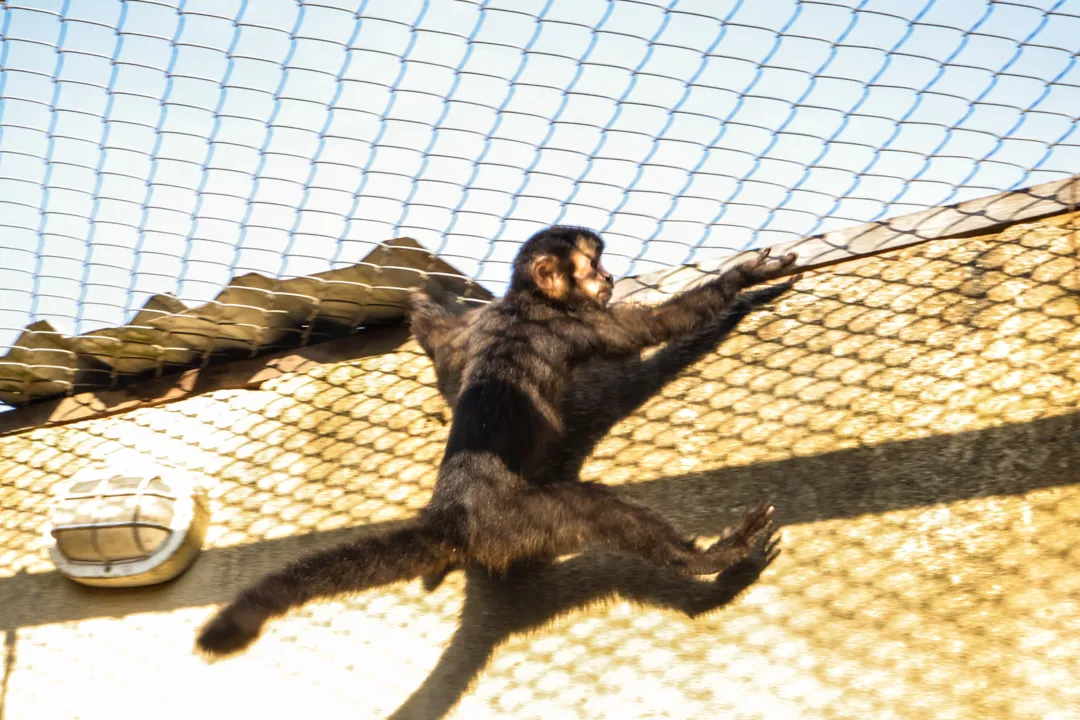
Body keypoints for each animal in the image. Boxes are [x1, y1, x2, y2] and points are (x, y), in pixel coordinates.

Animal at [196, 226, 794, 660]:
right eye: (592, 267)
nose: (610, 275)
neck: (526, 305)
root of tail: (453, 511)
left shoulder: (478, 326)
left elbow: (442, 345)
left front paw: (421, 295)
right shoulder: (576, 325)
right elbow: (651, 330)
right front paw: (745, 276)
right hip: (516, 520)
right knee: (589, 509)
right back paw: (709, 558)